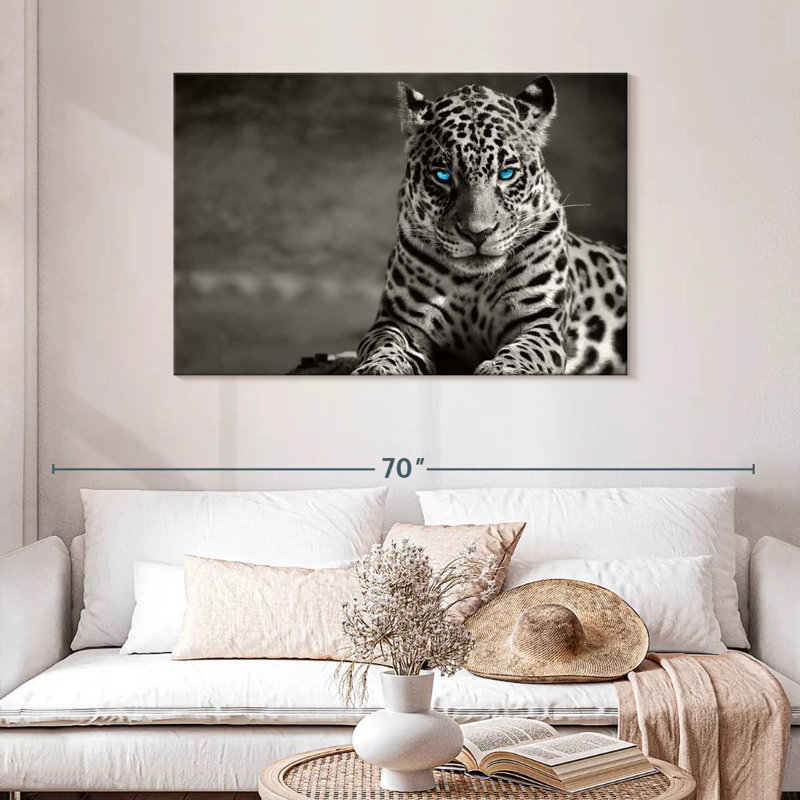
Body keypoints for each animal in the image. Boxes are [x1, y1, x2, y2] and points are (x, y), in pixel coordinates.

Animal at [353, 76, 627, 376]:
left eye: (506, 173)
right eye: (442, 175)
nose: (477, 233)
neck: (472, 283)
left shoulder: (540, 322)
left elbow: (525, 351)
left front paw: (503, 370)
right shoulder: (399, 321)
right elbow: (386, 345)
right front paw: (377, 368)